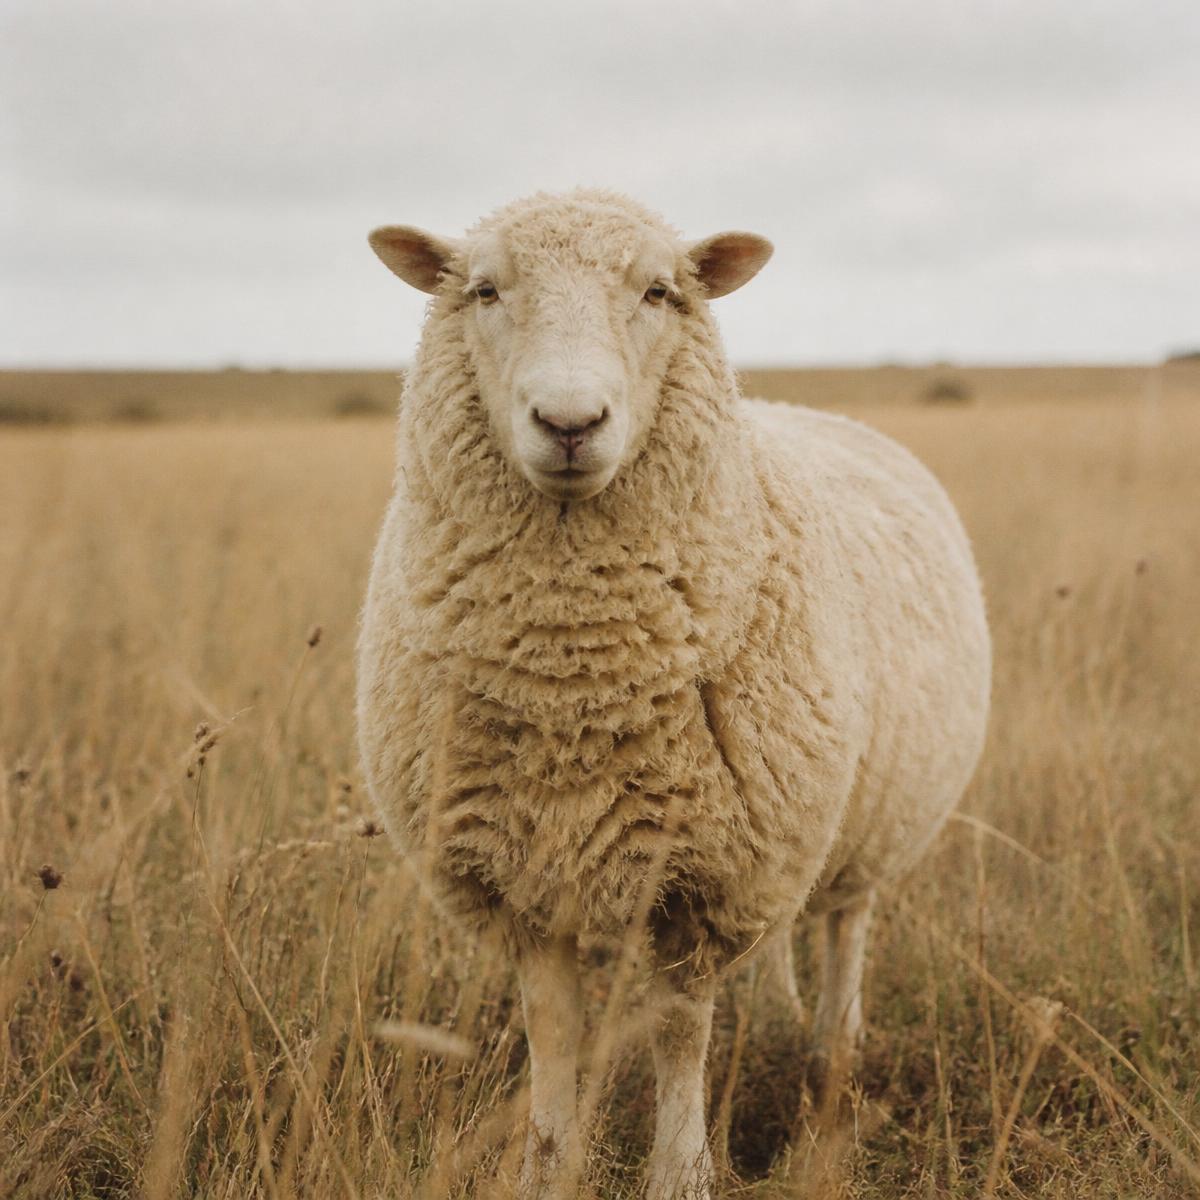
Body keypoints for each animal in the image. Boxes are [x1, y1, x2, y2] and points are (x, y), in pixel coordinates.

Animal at [357, 188, 991, 1200]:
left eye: (659, 291)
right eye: (484, 290)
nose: (569, 422)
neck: (574, 680)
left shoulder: (707, 874)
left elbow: (681, 1031)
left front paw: (681, 1171)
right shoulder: (521, 875)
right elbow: (553, 1035)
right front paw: (549, 1166)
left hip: (864, 830)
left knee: (844, 933)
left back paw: (832, 1062)